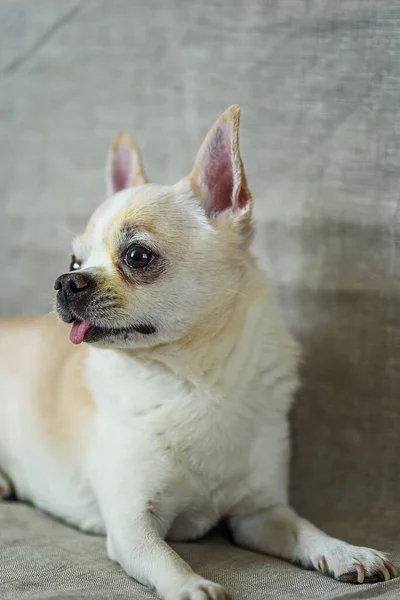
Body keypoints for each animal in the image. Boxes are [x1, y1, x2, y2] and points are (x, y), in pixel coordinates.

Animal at [0, 108, 396, 600]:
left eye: (136, 255)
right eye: (74, 262)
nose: (65, 281)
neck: (191, 380)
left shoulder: (260, 514)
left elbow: (307, 529)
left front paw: (346, 551)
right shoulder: (132, 526)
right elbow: (166, 557)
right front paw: (192, 586)